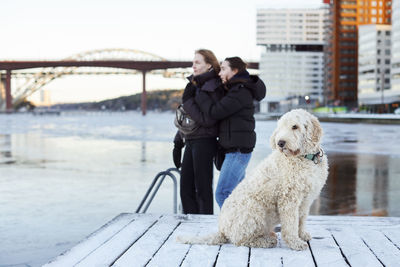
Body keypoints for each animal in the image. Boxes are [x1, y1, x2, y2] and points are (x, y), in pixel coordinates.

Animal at [178, 109, 328, 251]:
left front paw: (302, 235)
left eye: (295, 126)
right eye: (280, 127)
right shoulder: (289, 199)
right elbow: (291, 224)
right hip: (254, 210)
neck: (305, 158)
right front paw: (295, 243)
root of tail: (222, 230)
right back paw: (266, 240)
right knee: (241, 240)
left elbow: (301, 219)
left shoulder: (306, 200)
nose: (280, 143)